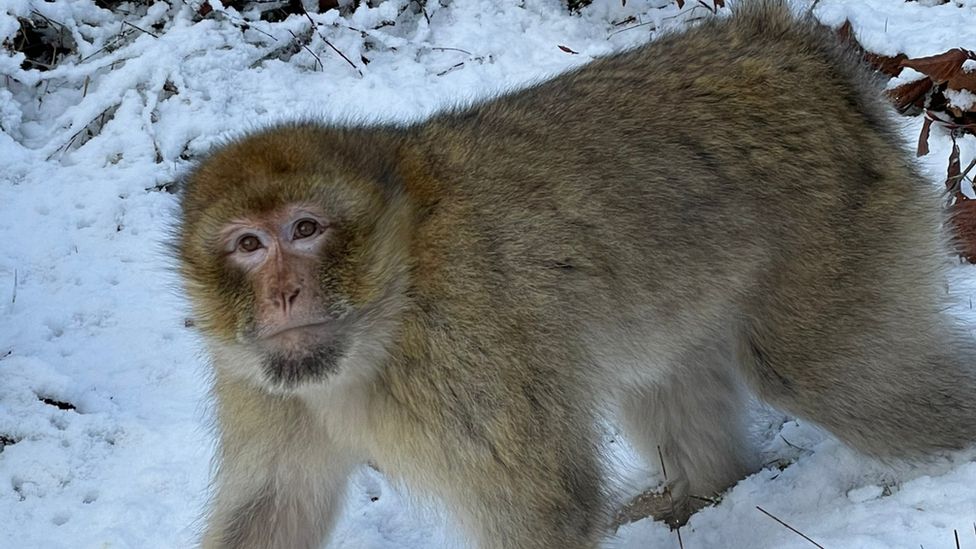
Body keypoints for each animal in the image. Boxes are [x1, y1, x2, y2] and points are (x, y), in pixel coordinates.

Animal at [179, 2, 976, 544]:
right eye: (247, 244)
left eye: (304, 230)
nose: (283, 293)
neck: (391, 305)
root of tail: (792, 47)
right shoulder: (264, 387)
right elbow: (272, 510)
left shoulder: (468, 354)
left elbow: (543, 509)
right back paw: (699, 492)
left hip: (837, 221)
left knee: (830, 375)